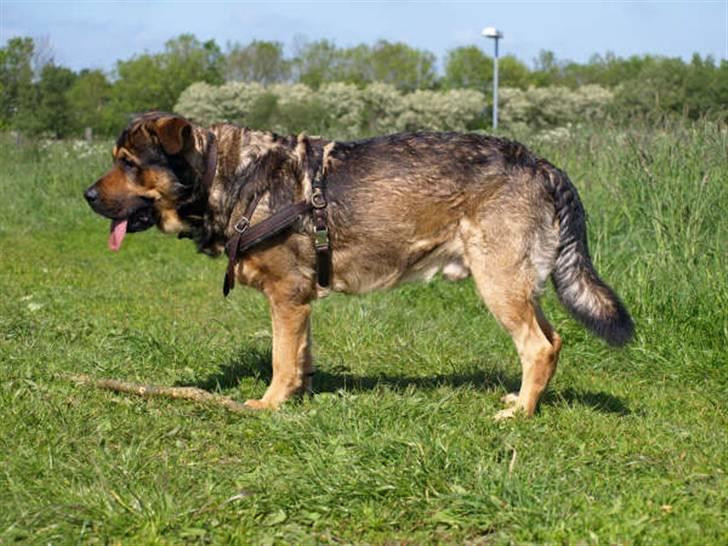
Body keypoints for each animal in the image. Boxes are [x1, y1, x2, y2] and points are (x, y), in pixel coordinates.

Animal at [84, 110, 632, 416]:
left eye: (129, 163)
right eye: (116, 160)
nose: (87, 195)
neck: (229, 175)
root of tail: (543, 163)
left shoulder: (286, 297)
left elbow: (281, 359)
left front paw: (267, 406)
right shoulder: (299, 303)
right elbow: (300, 357)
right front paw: (298, 399)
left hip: (498, 284)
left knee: (537, 347)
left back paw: (520, 416)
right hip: (516, 286)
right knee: (554, 341)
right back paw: (522, 402)